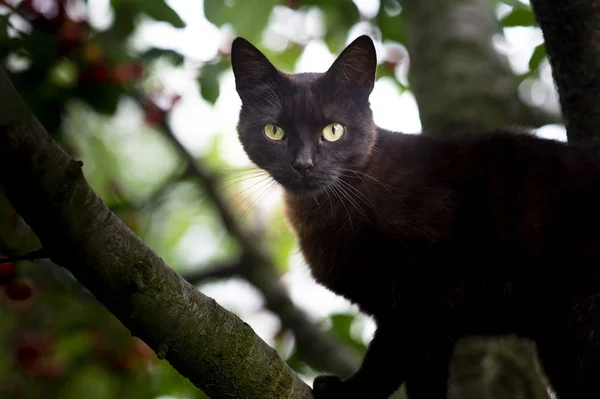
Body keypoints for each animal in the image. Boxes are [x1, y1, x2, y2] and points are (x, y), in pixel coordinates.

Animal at [230, 34, 600, 399]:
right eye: (274, 131)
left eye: (333, 130)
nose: (303, 164)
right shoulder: (428, 327)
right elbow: (423, 381)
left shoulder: (424, 300)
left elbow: (387, 361)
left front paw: (349, 390)